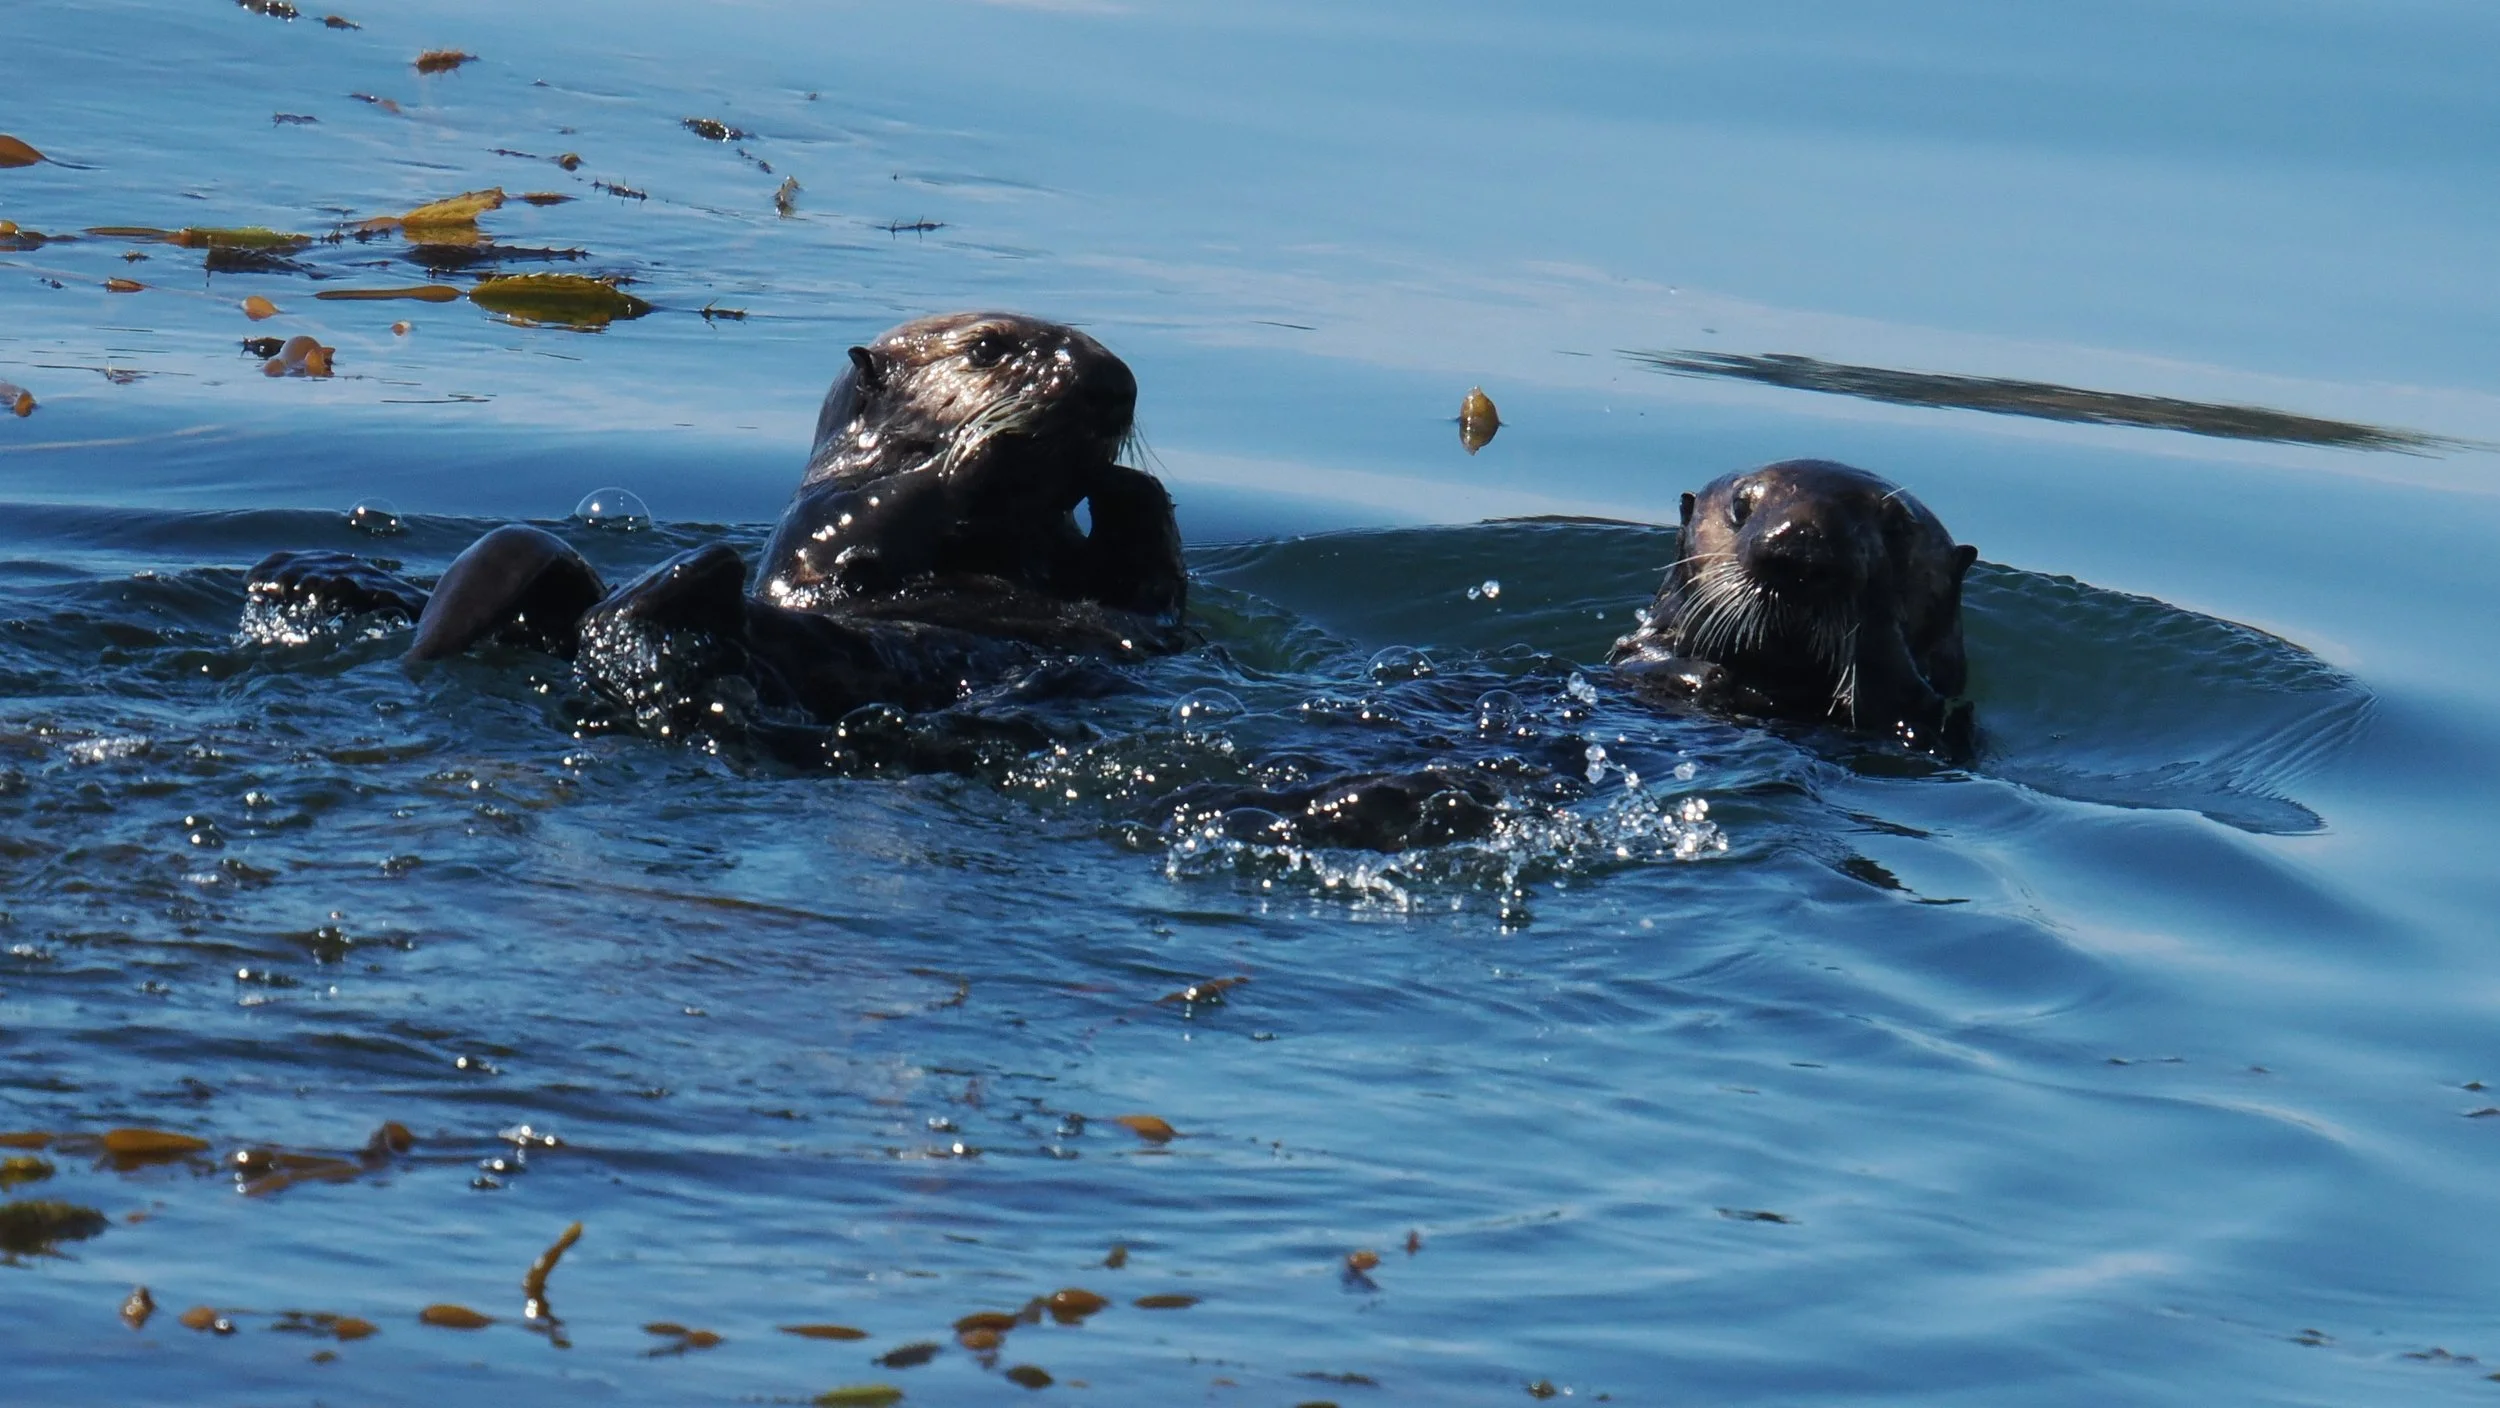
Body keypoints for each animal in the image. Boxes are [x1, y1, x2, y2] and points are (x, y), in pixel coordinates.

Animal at [244, 312, 1188, 736]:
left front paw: (1123, 476)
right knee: (634, 616)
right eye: (990, 347)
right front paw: (988, 449)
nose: (1114, 380)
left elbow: (1154, 596)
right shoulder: (826, 521)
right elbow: (860, 530)